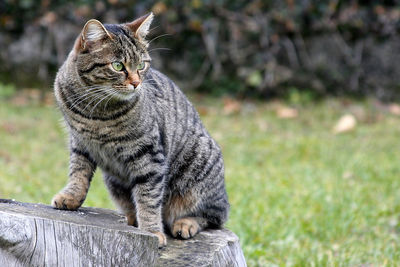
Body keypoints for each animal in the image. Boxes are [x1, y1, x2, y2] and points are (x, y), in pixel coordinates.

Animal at [51, 12, 230, 247]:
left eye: (142, 65)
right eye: (118, 66)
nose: (136, 83)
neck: (96, 111)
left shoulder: (148, 154)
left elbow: (148, 197)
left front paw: (152, 231)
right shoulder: (80, 142)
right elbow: (78, 173)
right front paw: (71, 197)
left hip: (200, 167)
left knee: (214, 216)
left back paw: (185, 223)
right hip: (114, 182)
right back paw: (129, 218)